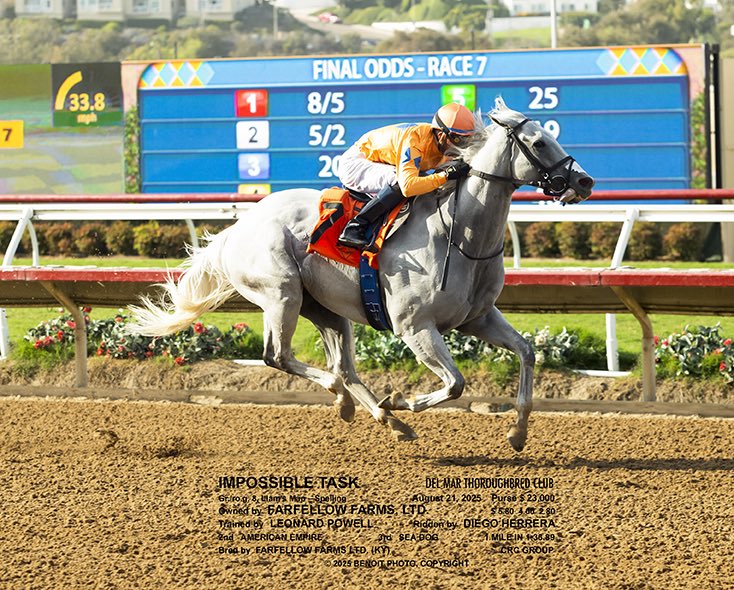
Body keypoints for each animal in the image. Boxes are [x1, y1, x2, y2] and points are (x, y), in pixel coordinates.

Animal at [129, 98, 594, 452]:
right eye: (538, 141)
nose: (584, 181)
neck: (460, 233)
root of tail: (236, 229)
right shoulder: (415, 327)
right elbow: (456, 384)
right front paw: (402, 399)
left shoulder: (478, 317)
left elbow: (527, 352)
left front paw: (517, 433)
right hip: (282, 294)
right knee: (281, 357)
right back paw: (352, 401)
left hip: (326, 308)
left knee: (343, 367)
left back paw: (382, 417)